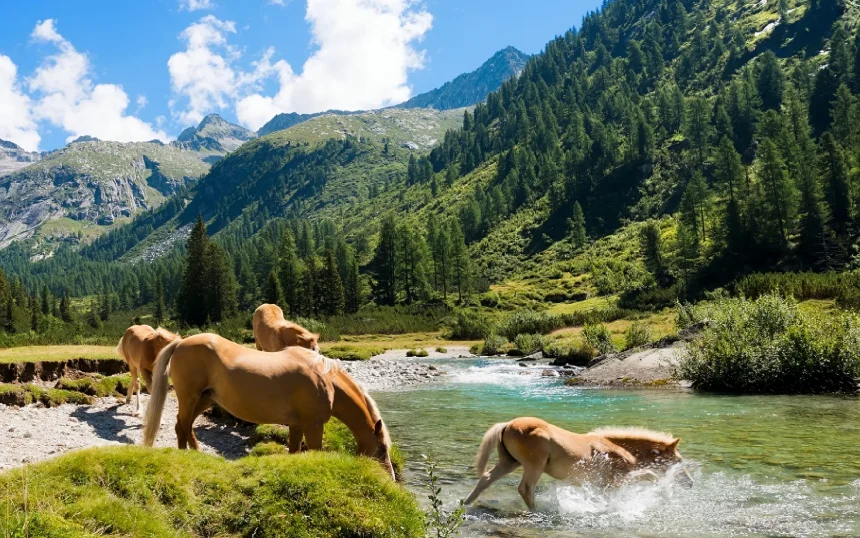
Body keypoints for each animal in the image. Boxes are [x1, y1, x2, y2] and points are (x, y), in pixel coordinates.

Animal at [142, 333, 395, 480]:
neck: (325, 378)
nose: (390, 478)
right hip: (190, 397)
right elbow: (315, 451)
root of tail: (181, 342)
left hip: (204, 399)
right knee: (181, 427)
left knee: (186, 426)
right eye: (382, 448)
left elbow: (294, 451)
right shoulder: (313, 426)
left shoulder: (297, 426)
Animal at [465, 417, 692, 510]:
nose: (689, 483)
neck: (617, 448)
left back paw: (465, 504)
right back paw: (538, 511)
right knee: (526, 489)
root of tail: (507, 425)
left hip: (510, 462)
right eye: (678, 460)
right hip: (534, 465)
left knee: (486, 478)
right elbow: (652, 476)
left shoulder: (604, 483)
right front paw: (665, 495)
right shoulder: (618, 478)